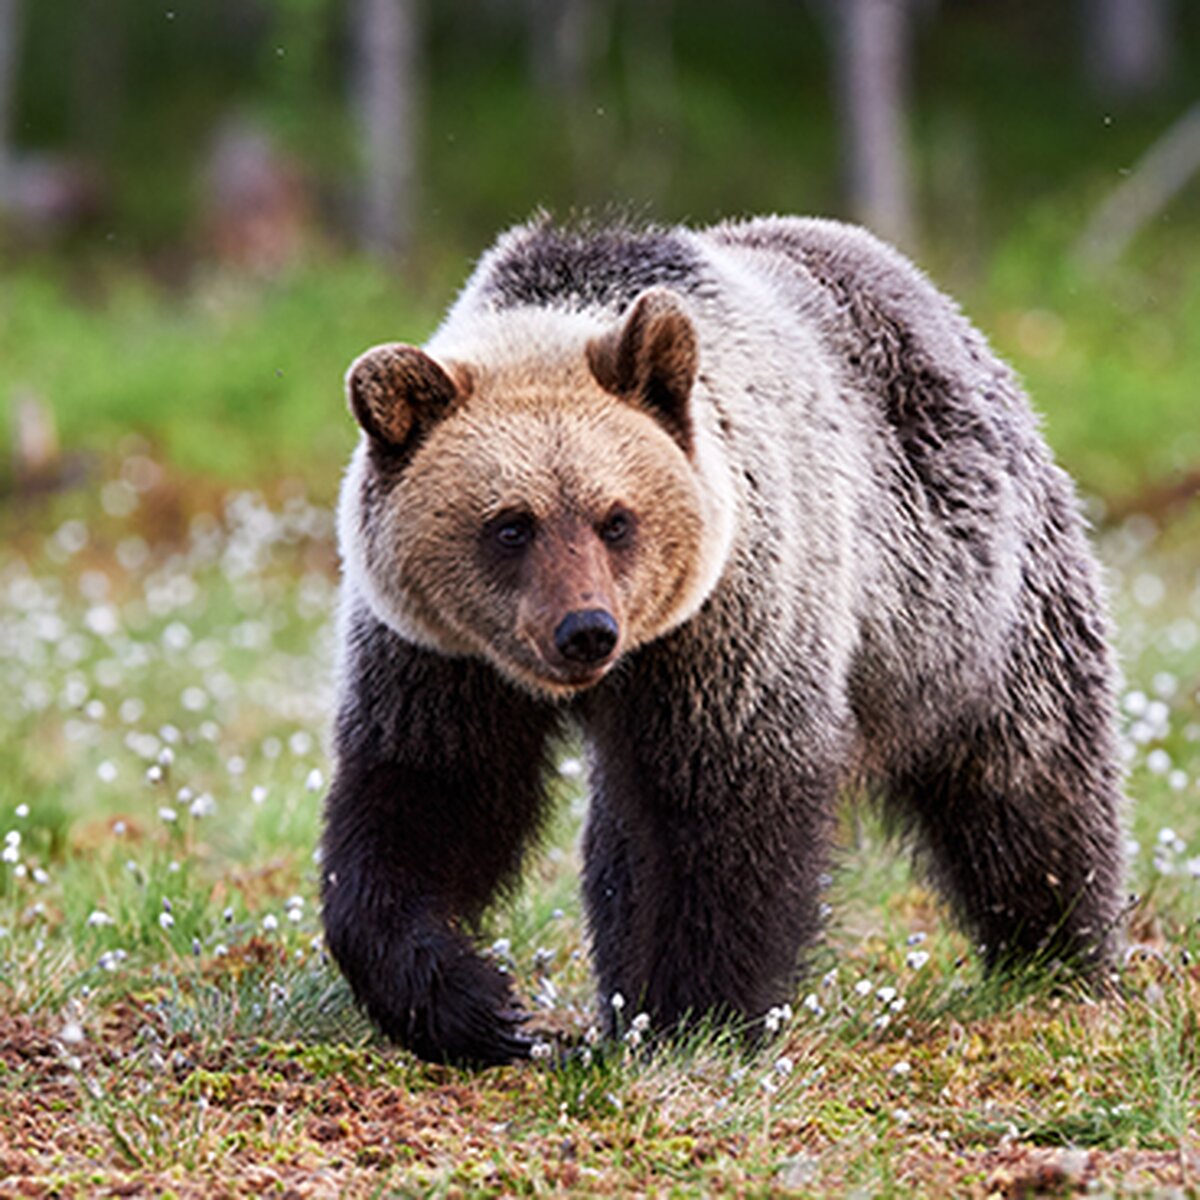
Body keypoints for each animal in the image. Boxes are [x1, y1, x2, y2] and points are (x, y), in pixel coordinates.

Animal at [316, 211, 1123, 1065]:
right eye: (510, 524)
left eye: (616, 518)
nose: (585, 631)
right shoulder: (440, 654)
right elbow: (429, 795)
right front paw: (475, 1003)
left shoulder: (732, 622)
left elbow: (729, 811)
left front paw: (697, 1014)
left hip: (970, 605)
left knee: (1028, 786)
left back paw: (1058, 955)